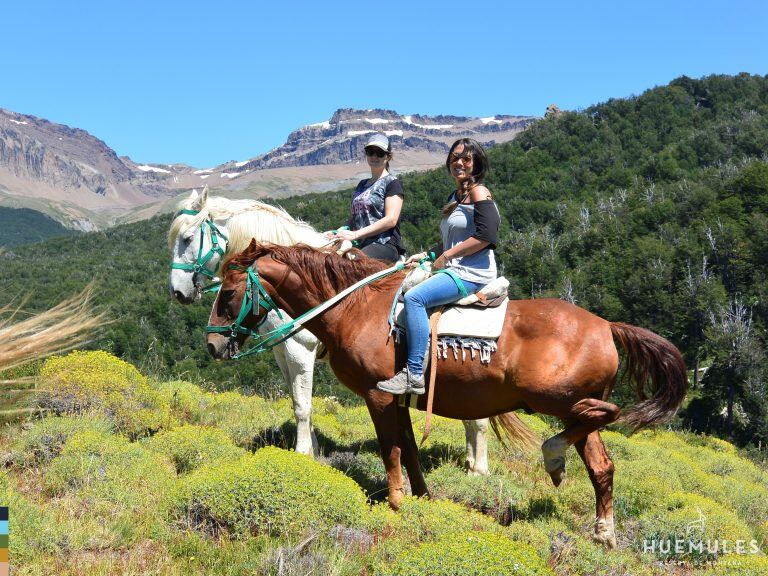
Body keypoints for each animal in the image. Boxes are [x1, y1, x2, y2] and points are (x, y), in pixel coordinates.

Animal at [168, 189, 492, 472]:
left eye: (187, 238)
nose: (178, 293)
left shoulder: (300, 350)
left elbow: (302, 406)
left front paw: (302, 455)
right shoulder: (282, 352)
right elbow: (298, 401)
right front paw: (313, 449)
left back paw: (479, 469)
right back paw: (470, 459)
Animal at [207, 241, 688, 548]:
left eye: (228, 293)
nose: (212, 345)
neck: (356, 308)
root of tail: (606, 326)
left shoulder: (378, 396)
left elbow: (390, 449)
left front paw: (396, 503)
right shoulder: (400, 399)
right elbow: (410, 449)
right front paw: (423, 498)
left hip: (554, 398)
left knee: (607, 410)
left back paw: (553, 454)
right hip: (569, 411)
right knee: (601, 465)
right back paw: (602, 529)